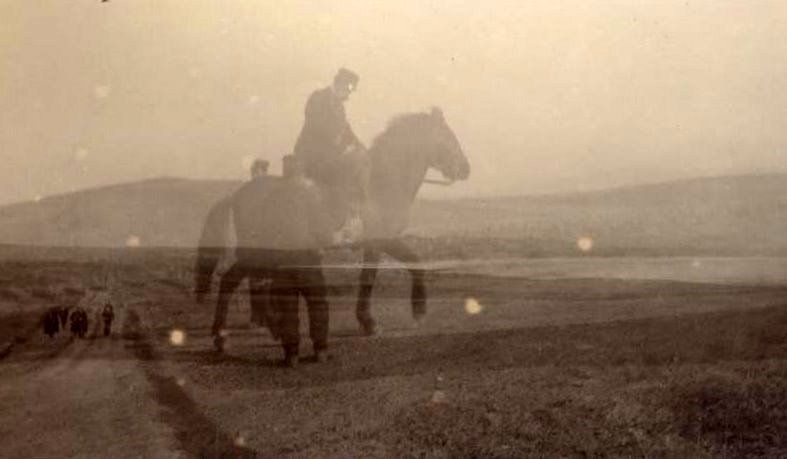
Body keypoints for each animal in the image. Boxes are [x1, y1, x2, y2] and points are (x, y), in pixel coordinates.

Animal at [194, 107, 470, 338]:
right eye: (448, 137)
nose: (466, 169)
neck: (382, 185)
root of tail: (239, 193)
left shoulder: (378, 244)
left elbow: (389, 270)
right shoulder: (382, 241)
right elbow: (398, 268)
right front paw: (397, 315)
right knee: (234, 280)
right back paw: (227, 329)